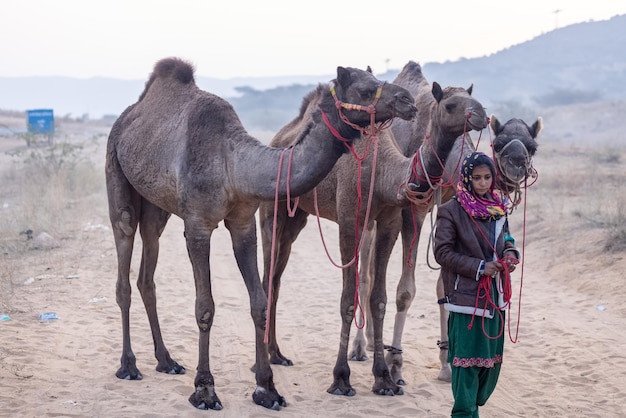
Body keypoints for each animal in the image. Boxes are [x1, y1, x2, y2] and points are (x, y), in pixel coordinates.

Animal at [105, 56, 416, 412]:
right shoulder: (198, 224)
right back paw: (129, 366)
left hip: (157, 206)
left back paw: (166, 361)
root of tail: (129, 116)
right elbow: (205, 306)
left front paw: (267, 388)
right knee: (124, 254)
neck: (233, 164)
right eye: (365, 90)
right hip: (116, 173)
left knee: (148, 267)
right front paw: (205, 390)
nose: (408, 101)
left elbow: (259, 301)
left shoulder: (243, 222)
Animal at [256, 59, 486, 398]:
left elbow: (379, 298)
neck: (384, 171)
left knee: (277, 277)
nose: (482, 114)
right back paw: (264, 360)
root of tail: (279, 139)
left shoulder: (389, 220)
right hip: (272, 212)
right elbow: (347, 299)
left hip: (296, 217)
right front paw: (341, 378)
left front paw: (384, 379)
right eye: (451, 104)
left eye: (475, 99)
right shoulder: (349, 219)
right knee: (267, 276)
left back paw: (277, 353)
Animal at [352, 61, 540, 386]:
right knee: (365, 274)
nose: (517, 162)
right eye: (498, 143)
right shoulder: (412, 209)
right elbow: (406, 290)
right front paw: (396, 364)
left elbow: (445, 284)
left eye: (532, 145)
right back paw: (361, 348)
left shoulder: (447, 206)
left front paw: (446, 364)